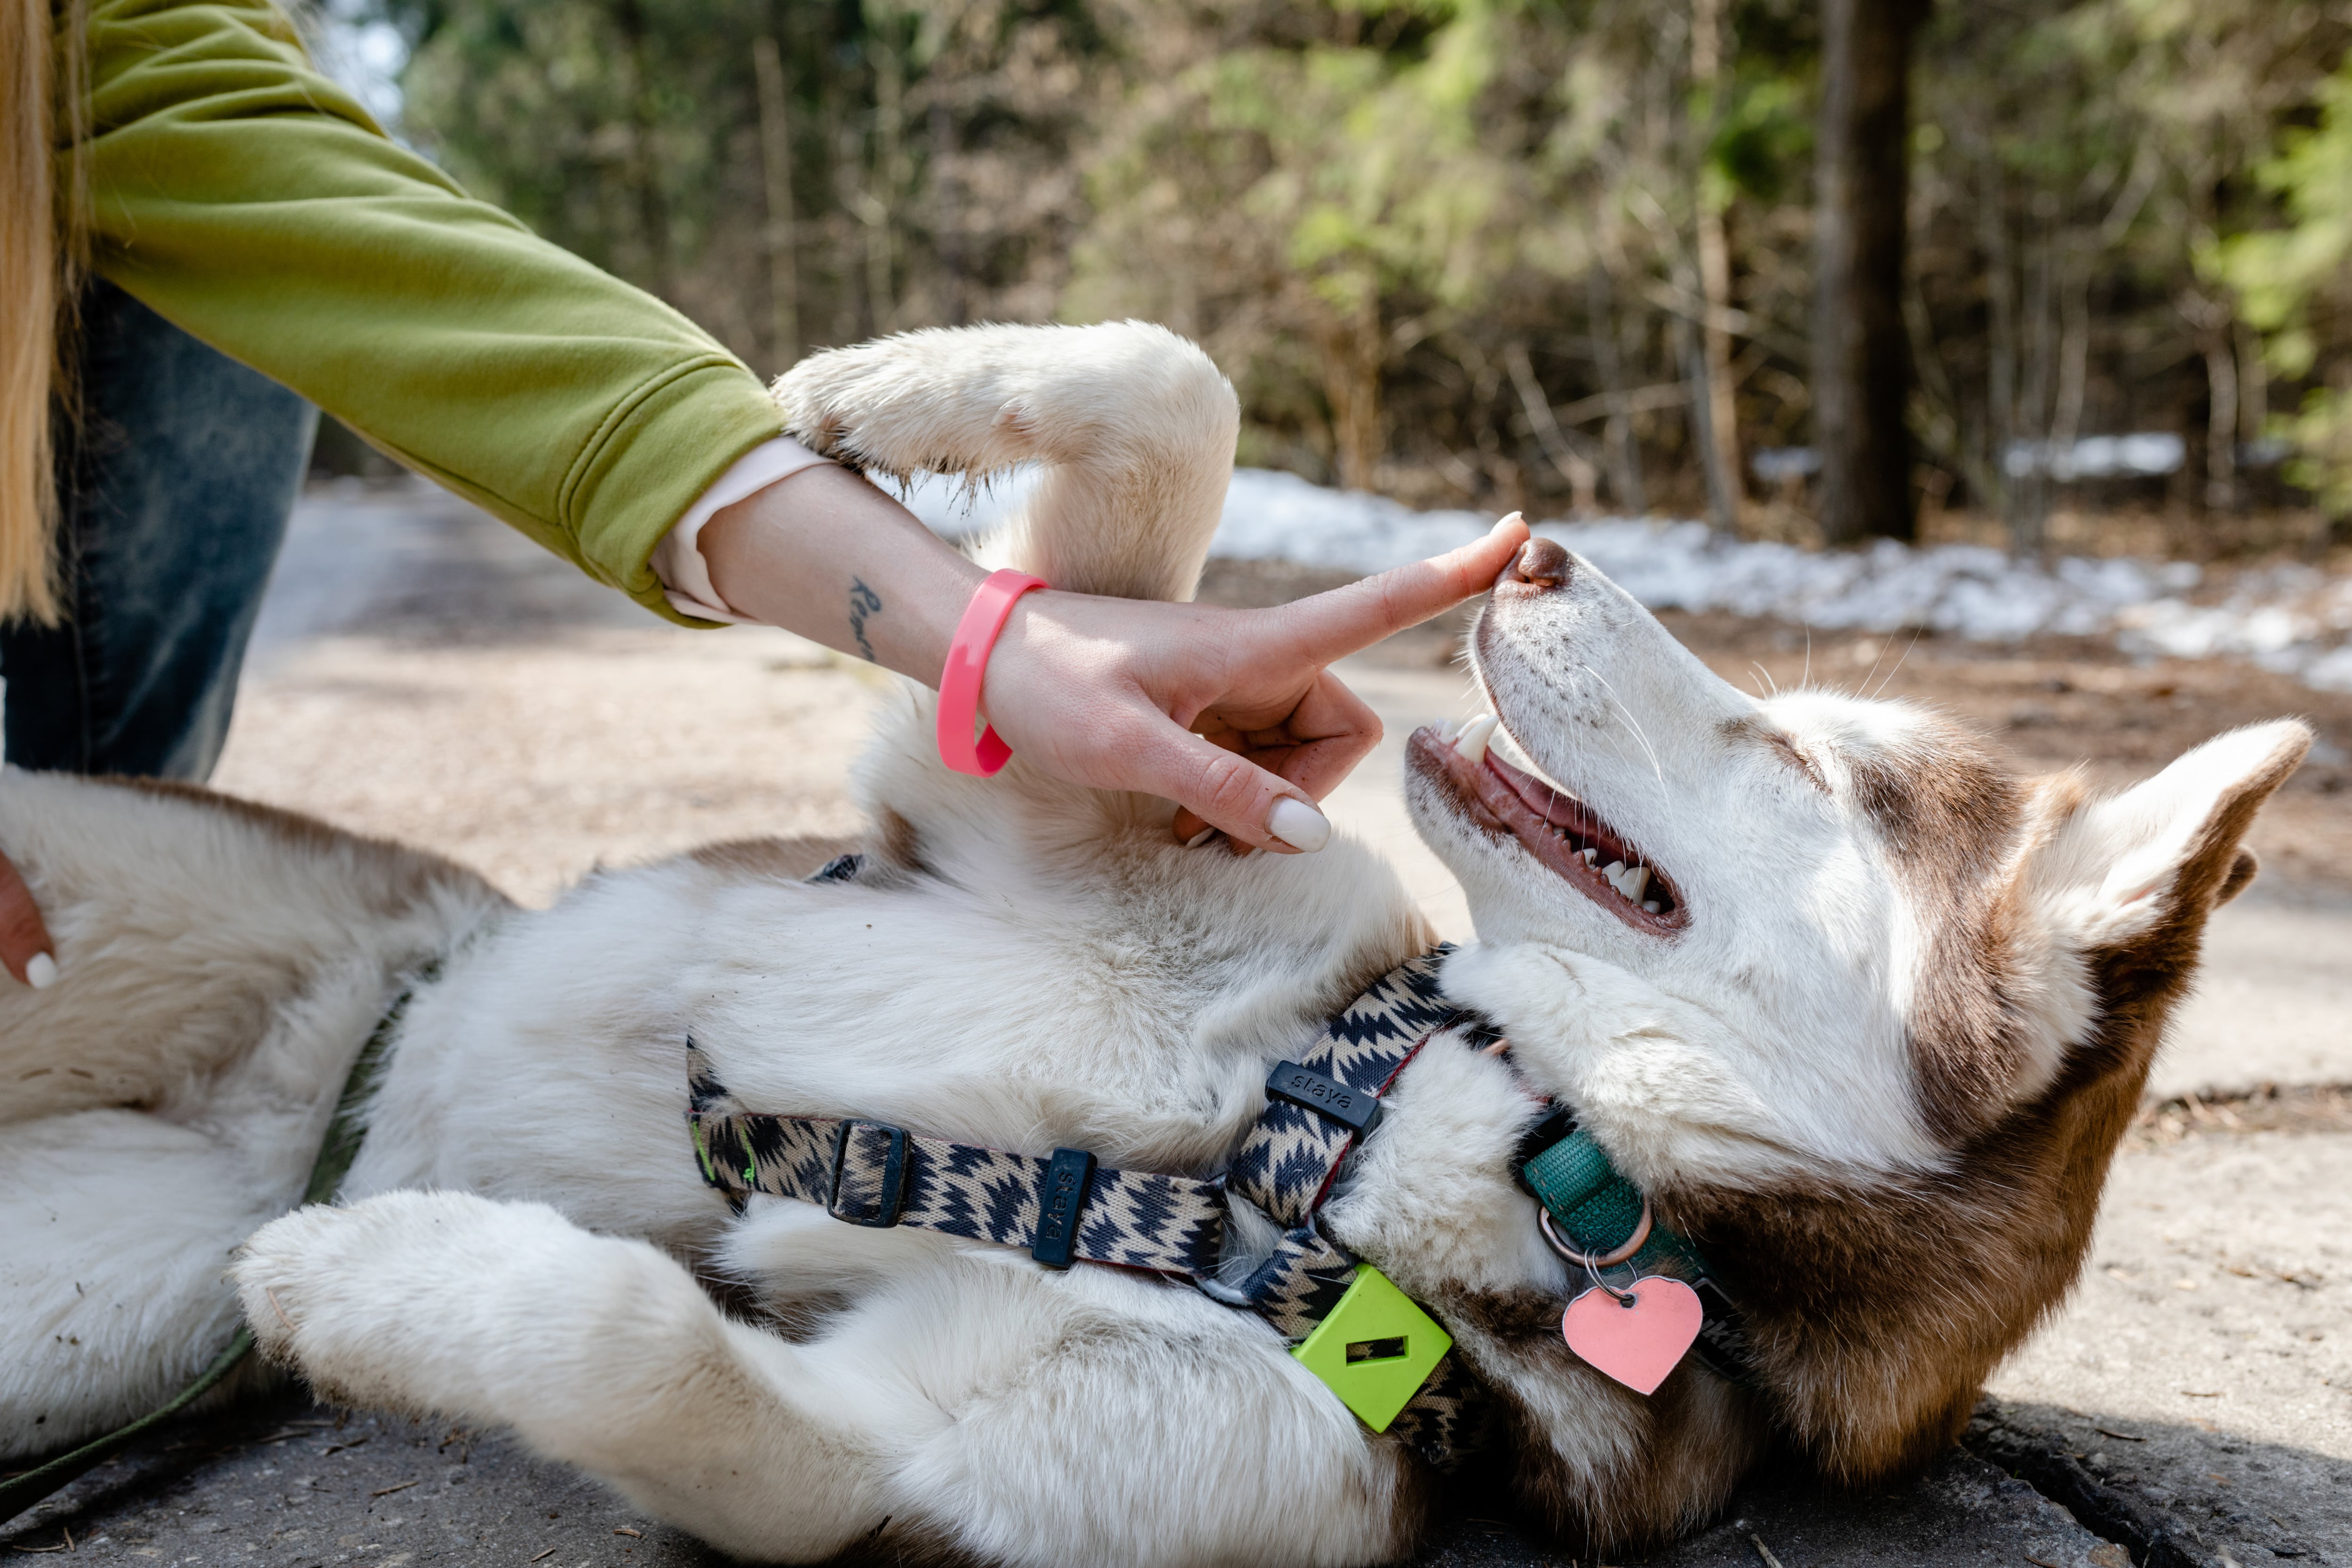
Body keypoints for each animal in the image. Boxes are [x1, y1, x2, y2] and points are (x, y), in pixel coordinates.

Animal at [0, 322, 2314, 1568]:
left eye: (1807, 758)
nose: (1537, 547)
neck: (1353, 1125)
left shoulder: (921, 1466)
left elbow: (637, 1338)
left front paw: (369, 1277)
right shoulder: (1041, 794)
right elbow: (1169, 404)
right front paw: (890, 389)